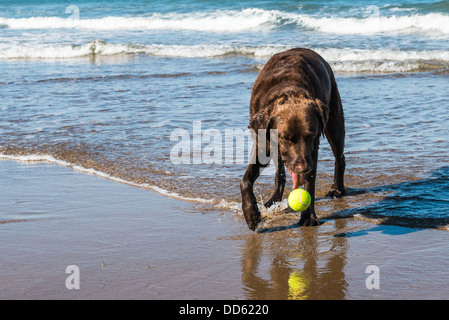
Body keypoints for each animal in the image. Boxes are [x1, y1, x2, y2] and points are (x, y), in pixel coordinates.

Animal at [240, 48, 344, 230]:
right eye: (285, 138)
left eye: (310, 135)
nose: (303, 167)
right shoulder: (263, 143)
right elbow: (246, 181)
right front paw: (252, 215)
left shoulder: (313, 149)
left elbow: (310, 181)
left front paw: (308, 216)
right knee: (279, 173)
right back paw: (274, 199)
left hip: (334, 120)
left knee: (340, 156)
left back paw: (337, 189)